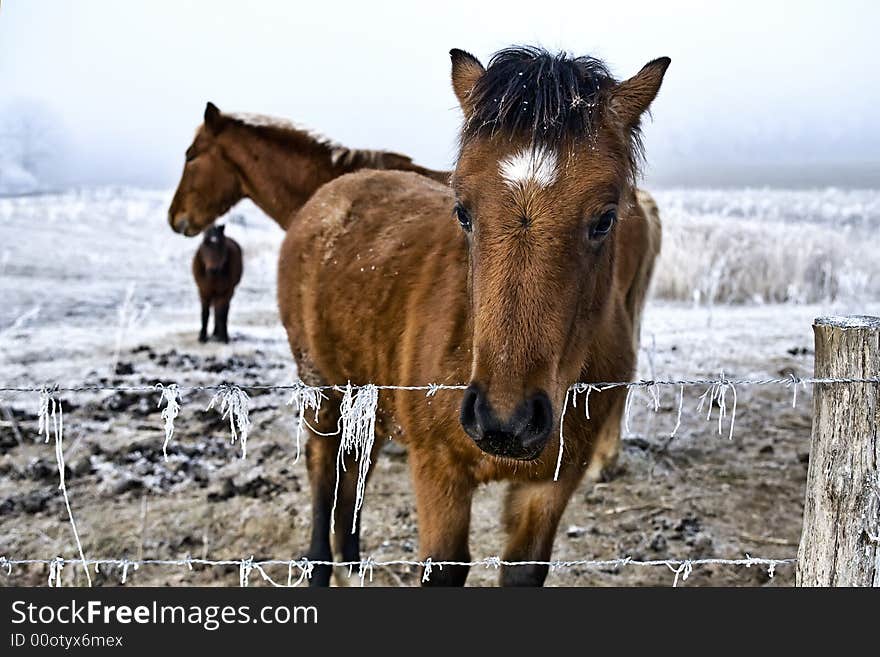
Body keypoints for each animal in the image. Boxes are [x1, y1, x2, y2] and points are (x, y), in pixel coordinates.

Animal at [278, 47, 664, 588]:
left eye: (606, 218)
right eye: (462, 210)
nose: (506, 421)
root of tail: (329, 197)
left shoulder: (551, 486)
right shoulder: (438, 471)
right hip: (322, 389)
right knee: (322, 471)